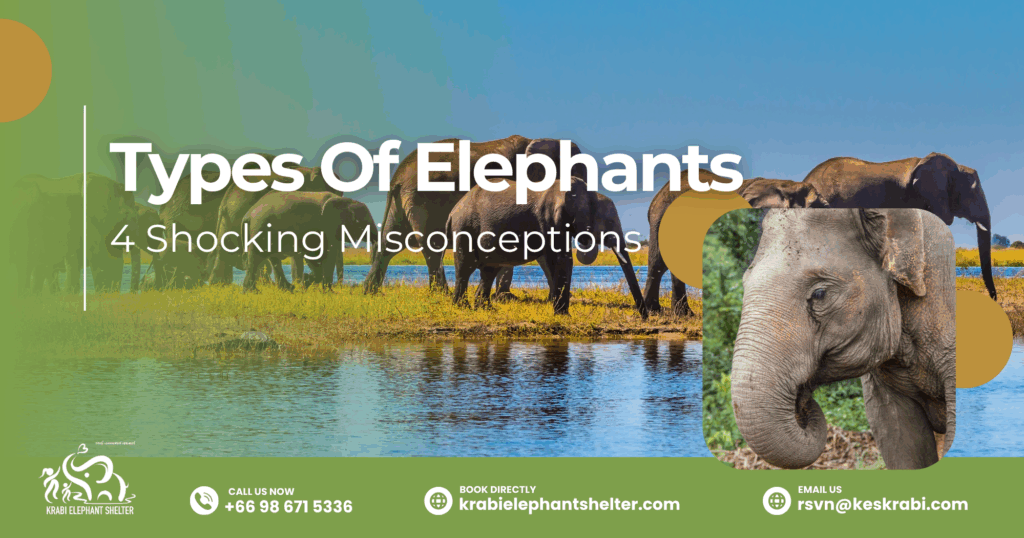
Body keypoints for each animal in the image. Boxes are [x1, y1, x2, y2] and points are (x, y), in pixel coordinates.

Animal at [240, 191, 374, 292]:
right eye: (360, 224)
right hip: (259, 230)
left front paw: (306, 282)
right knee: (256, 258)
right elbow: (325, 255)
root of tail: (247, 215)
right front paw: (326, 291)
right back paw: (253, 292)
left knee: (272, 259)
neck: (344, 200)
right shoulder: (325, 226)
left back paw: (288, 289)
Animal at [362, 135, 587, 294]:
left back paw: (369, 291)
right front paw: (504, 298)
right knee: (432, 245)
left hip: (401, 203)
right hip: (424, 199)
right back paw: (442, 294)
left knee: (390, 242)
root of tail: (397, 177)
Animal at [446, 177, 648, 318]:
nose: (643, 317)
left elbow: (558, 260)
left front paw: (560, 313)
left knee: (489, 270)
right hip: (464, 227)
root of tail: (453, 210)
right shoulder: (550, 218)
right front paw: (563, 315)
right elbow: (562, 259)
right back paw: (461, 307)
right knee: (465, 267)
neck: (586, 192)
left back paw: (486, 309)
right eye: (610, 222)